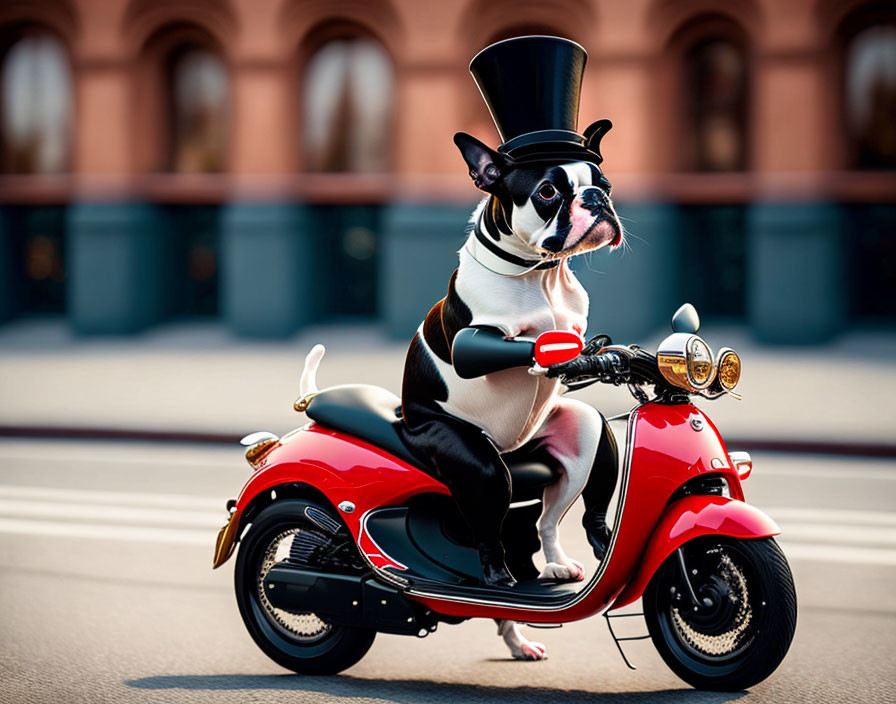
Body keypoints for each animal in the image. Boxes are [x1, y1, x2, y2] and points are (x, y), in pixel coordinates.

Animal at [400, 131, 624, 660]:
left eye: (604, 183)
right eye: (548, 191)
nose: (596, 198)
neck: (540, 275)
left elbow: (580, 342)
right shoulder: (475, 336)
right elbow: (489, 347)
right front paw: (546, 349)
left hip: (579, 444)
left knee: (551, 518)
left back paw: (570, 559)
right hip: (477, 463)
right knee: (488, 524)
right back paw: (498, 579)